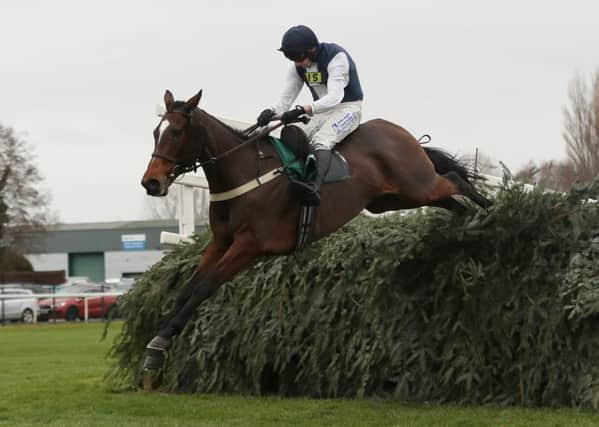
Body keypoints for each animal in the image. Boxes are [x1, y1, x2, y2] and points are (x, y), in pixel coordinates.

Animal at [141, 89, 492, 374]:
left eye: (177, 131)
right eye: (156, 132)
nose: (151, 183)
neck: (244, 174)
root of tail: (399, 132)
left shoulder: (249, 245)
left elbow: (205, 287)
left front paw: (159, 344)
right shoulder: (220, 241)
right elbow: (187, 289)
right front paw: (159, 340)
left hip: (417, 184)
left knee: (455, 181)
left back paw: (490, 211)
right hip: (393, 199)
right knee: (450, 199)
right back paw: (472, 221)